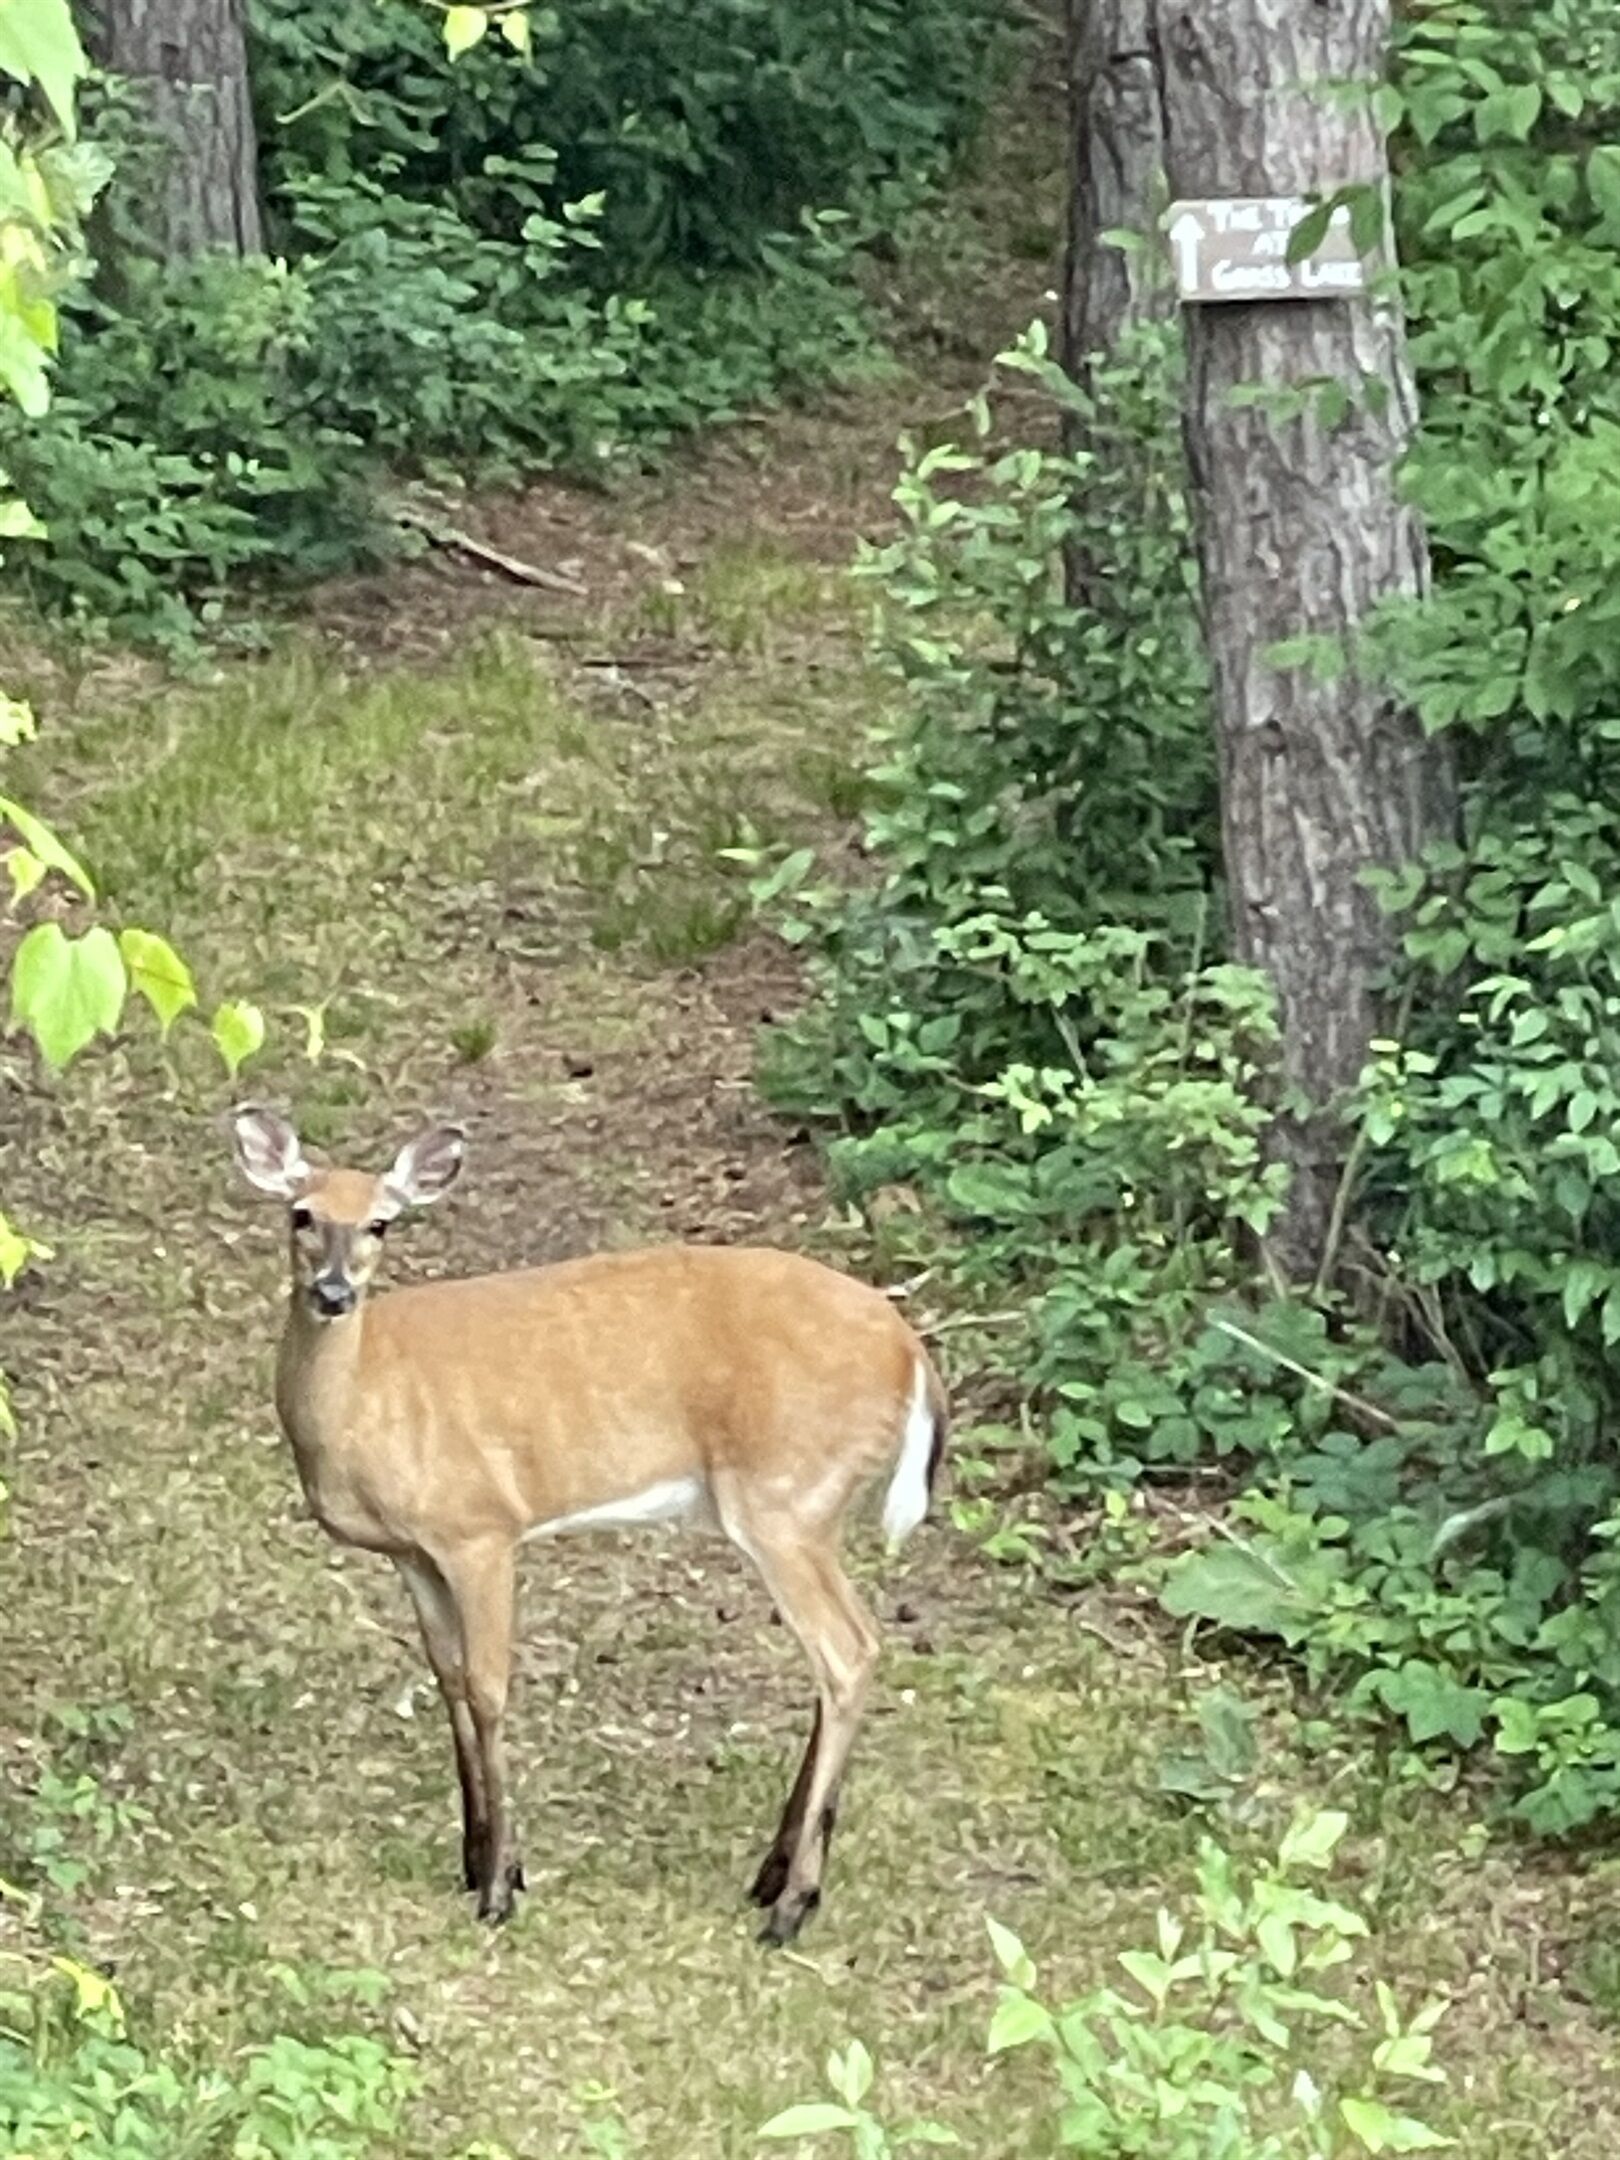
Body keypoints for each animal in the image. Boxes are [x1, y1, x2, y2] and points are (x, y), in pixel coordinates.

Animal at [227, 1105, 948, 1945]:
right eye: (301, 1214)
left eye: (381, 1222)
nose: (336, 1292)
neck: (366, 1396)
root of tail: (912, 1355)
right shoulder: (414, 1552)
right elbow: (447, 1678)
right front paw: (475, 1858)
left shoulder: (482, 1526)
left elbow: (489, 1689)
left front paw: (501, 1885)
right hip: (801, 1507)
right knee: (837, 1658)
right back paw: (775, 1878)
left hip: (785, 1496)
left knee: (848, 1649)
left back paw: (793, 1903)